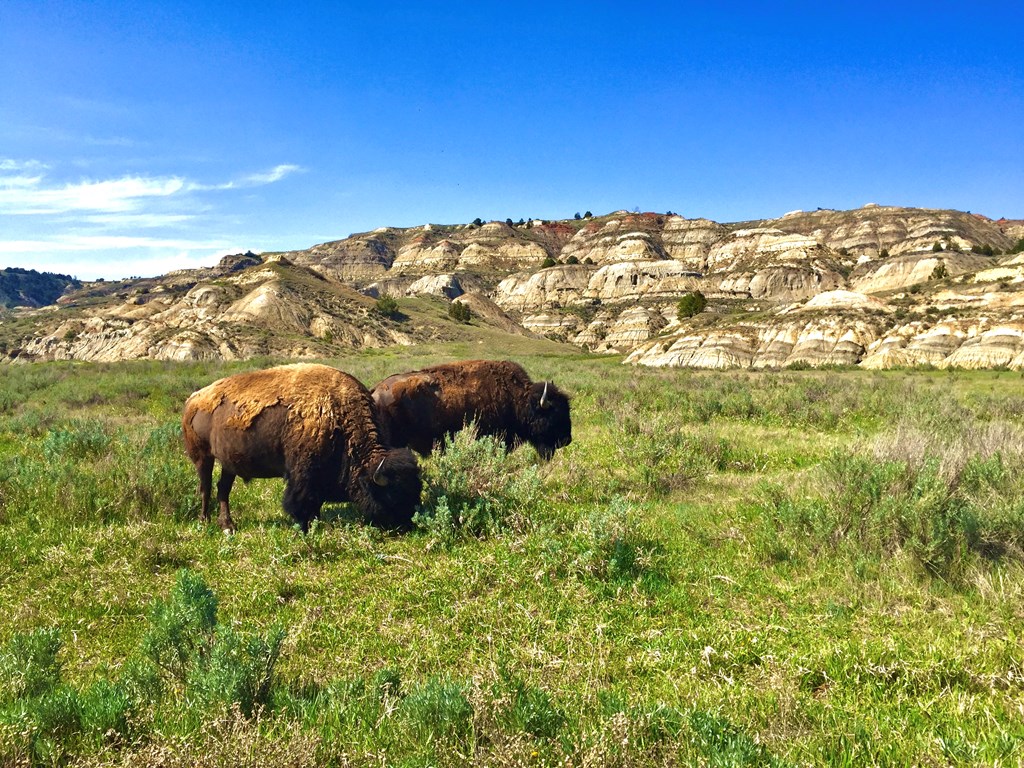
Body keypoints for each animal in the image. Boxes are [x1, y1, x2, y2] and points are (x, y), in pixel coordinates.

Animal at [182, 363, 421, 533]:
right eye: (392, 494)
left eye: (416, 489)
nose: (406, 524)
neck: (340, 414)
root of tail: (192, 399)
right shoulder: (303, 471)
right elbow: (301, 499)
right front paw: (304, 525)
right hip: (203, 457)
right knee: (206, 487)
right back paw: (204, 521)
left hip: (228, 463)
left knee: (223, 489)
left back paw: (228, 526)